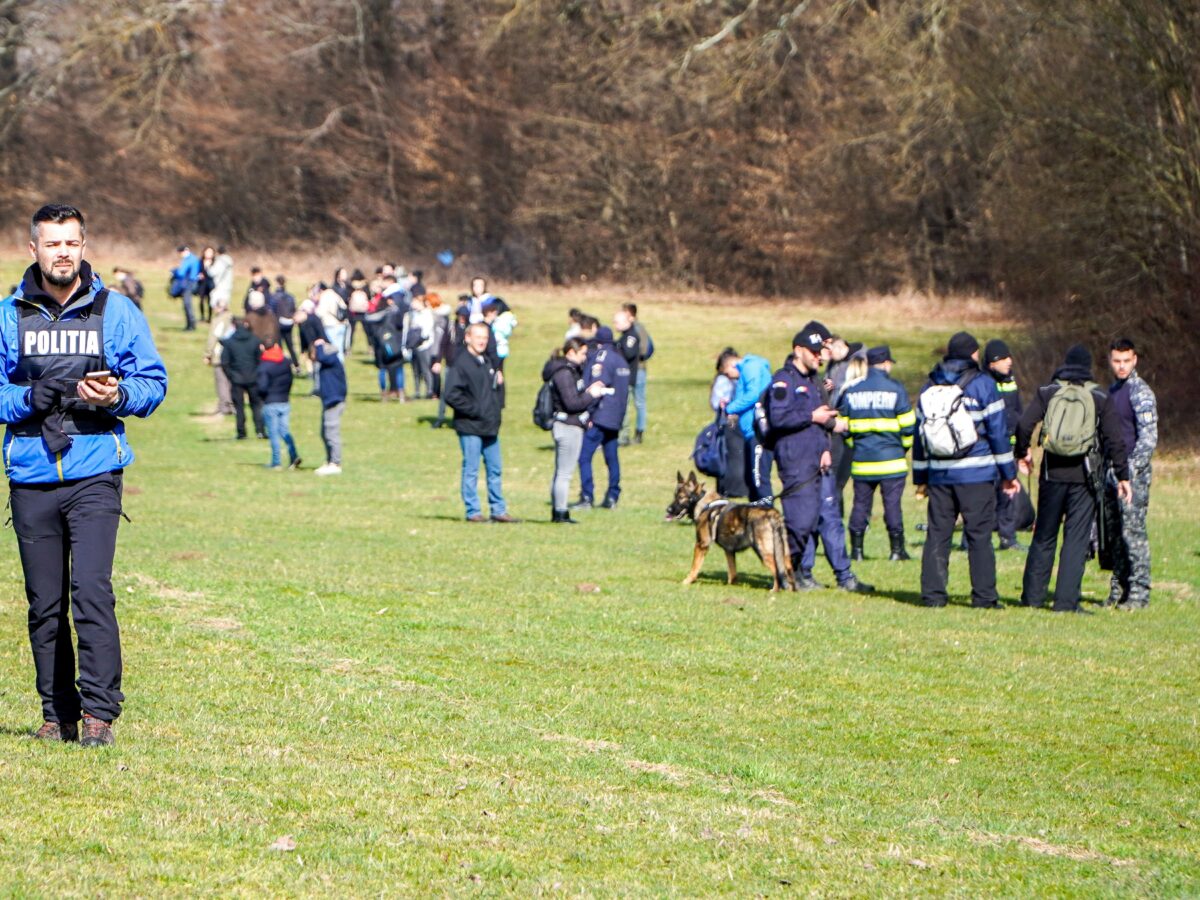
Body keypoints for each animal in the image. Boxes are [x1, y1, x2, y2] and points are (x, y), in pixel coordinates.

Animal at [667, 472, 796, 592]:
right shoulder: (729, 550)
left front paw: (687, 581)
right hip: (783, 553)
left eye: (681, 497)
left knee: (777, 570)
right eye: (675, 496)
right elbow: (732, 572)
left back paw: (775, 590)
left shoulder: (701, 545)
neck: (703, 503)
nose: (668, 510)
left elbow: (694, 567)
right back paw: (790, 590)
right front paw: (731, 585)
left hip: (763, 551)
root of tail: (772, 514)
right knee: (788, 569)